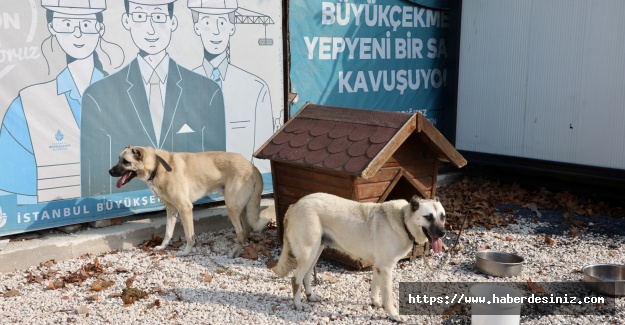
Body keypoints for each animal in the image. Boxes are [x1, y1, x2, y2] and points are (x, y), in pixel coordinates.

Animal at [108, 146, 268, 256]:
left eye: (125, 161)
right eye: (118, 159)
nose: (109, 171)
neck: (156, 166)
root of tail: (253, 166)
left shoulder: (185, 208)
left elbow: (189, 236)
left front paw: (186, 252)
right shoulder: (171, 210)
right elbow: (168, 233)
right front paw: (162, 247)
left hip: (232, 207)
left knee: (240, 231)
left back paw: (234, 253)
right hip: (241, 207)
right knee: (247, 228)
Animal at [272, 192, 444, 322]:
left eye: (442, 216)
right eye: (428, 217)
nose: (443, 233)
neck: (403, 220)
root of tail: (295, 205)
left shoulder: (379, 267)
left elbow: (375, 286)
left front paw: (375, 302)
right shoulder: (386, 268)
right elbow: (387, 295)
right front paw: (393, 314)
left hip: (315, 252)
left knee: (306, 275)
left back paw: (310, 296)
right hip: (308, 253)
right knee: (296, 279)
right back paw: (298, 305)